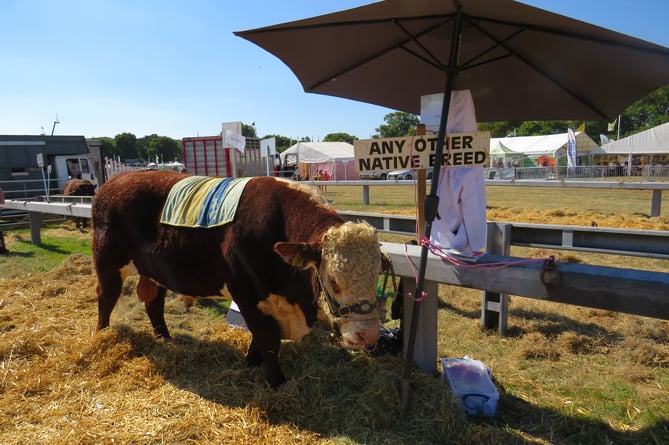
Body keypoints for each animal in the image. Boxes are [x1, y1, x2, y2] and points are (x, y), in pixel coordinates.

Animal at [90, 169, 380, 386]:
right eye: (333, 280)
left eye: (376, 276)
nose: (368, 335)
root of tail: (115, 181)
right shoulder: (248, 294)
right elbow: (266, 337)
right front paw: (276, 380)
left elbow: (260, 339)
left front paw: (251, 362)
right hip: (107, 263)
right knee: (106, 297)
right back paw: (102, 334)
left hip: (156, 271)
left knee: (154, 304)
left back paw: (164, 338)